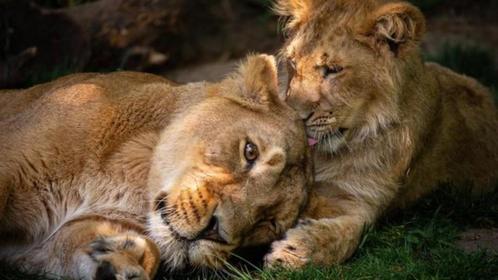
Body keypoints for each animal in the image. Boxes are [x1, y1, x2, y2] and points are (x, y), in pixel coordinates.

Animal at [264, 0, 498, 266]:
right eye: (293, 63)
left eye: (333, 69)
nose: (294, 116)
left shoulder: (361, 201)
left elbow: (348, 234)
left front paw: (294, 252)